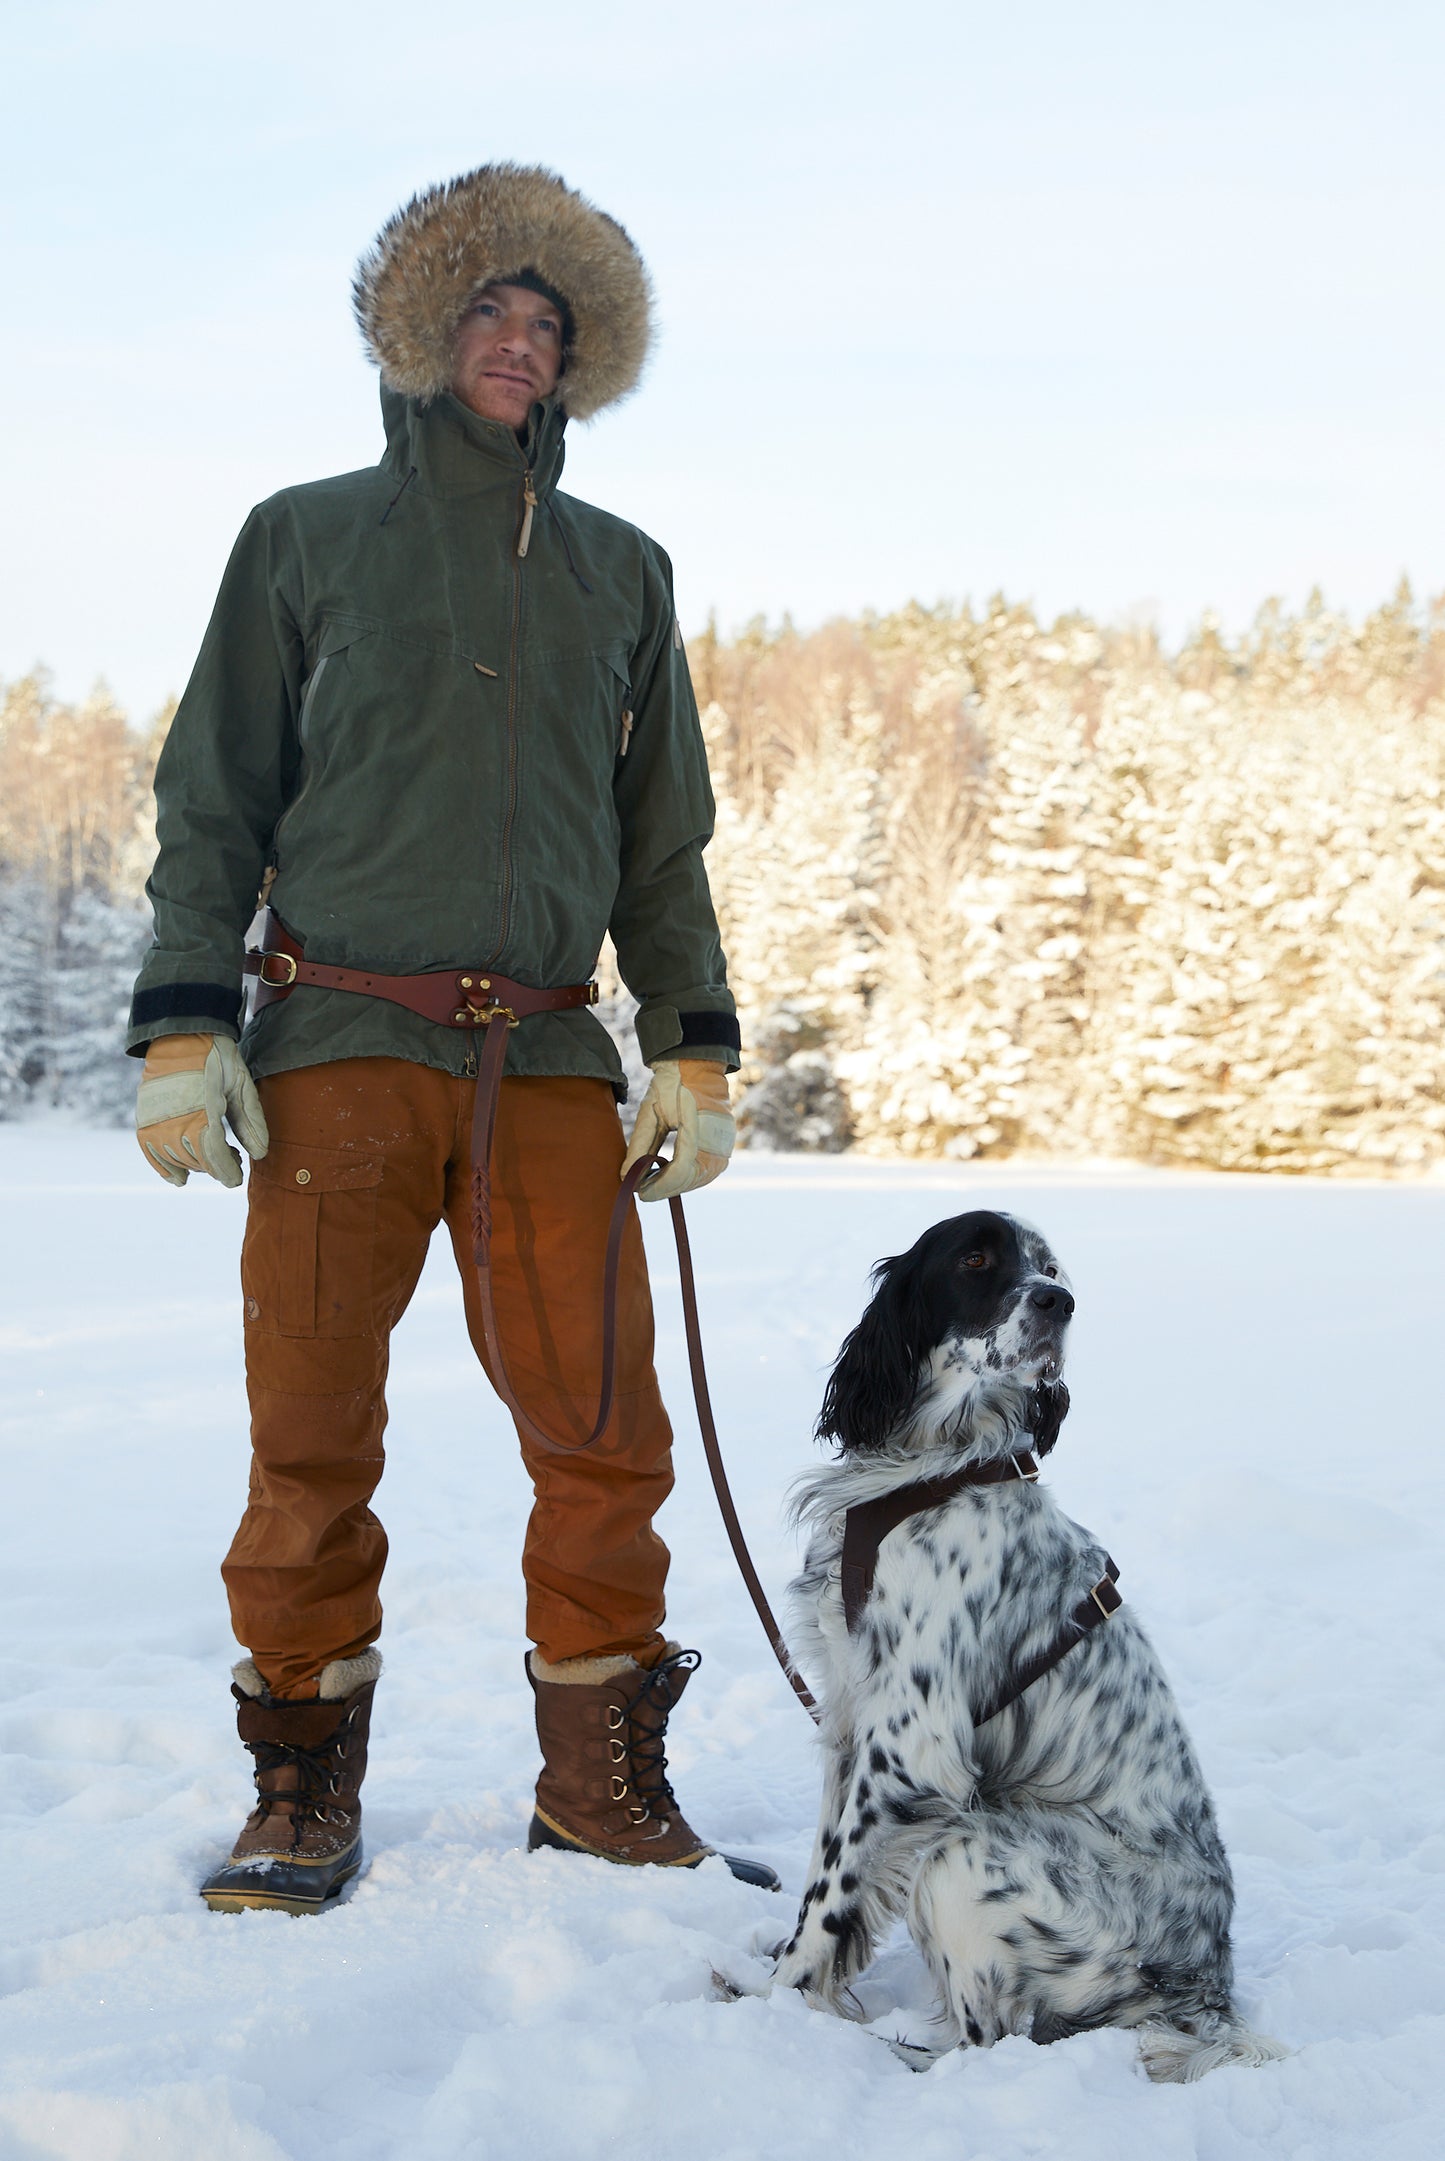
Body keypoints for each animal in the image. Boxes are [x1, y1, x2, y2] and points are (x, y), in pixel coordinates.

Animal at [773, 1218, 1278, 2074]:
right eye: (976, 1257)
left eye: (1049, 1267)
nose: (1058, 1301)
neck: (935, 1466)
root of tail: (1207, 1994)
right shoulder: (849, 1713)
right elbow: (822, 1863)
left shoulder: (909, 1743)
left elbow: (832, 1894)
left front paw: (773, 1995)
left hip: (966, 1852)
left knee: (986, 2041)